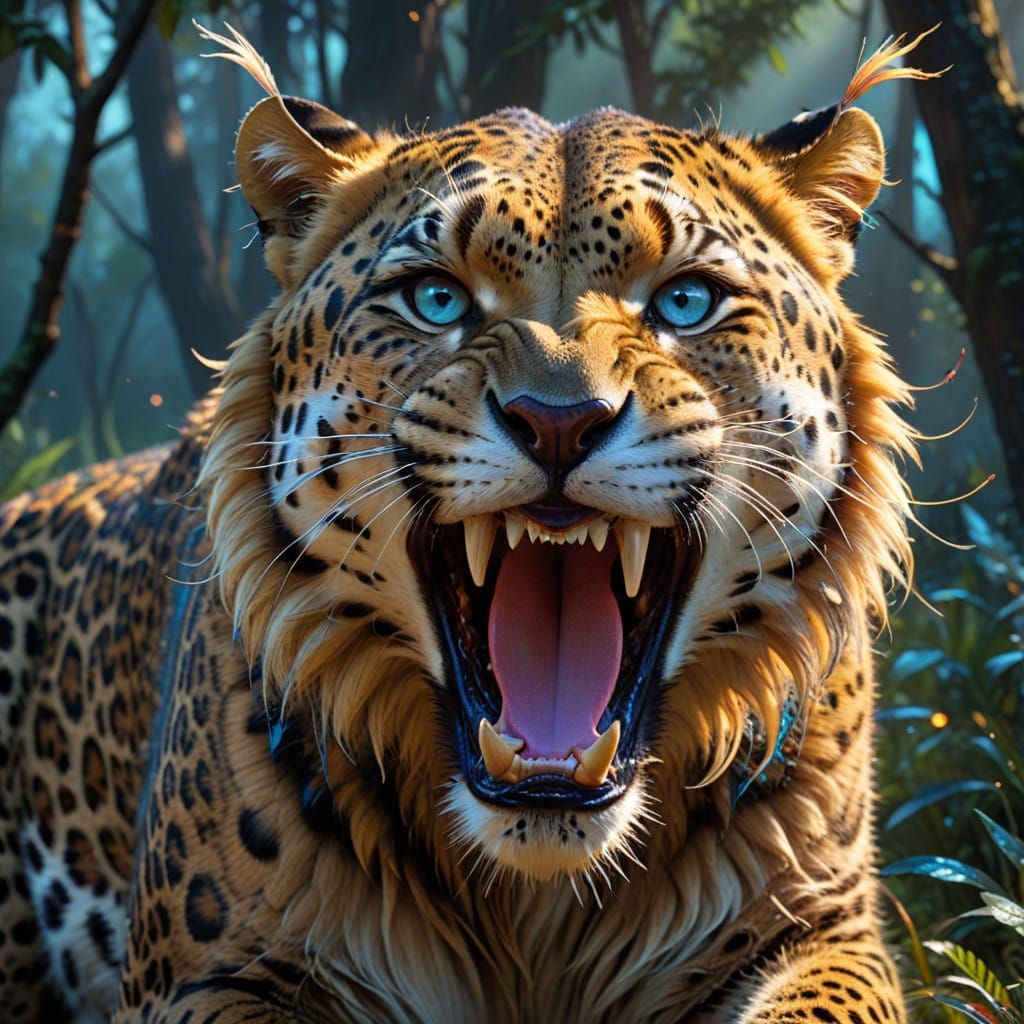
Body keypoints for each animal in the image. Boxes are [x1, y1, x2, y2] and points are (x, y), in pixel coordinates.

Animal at [0, 23, 939, 1024]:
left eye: (686, 301)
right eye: (437, 299)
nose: (559, 420)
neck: (538, 904)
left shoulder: (829, 923)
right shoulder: (208, 970)